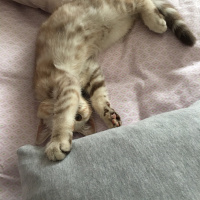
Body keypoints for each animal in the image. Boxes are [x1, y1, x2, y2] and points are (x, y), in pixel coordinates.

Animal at [33, 0, 195, 161]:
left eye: (77, 117)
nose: (81, 112)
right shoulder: (91, 68)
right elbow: (99, 96)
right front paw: (108, 116)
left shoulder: (66, 83)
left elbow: (63, 115)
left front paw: (57, 142)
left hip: (113, 6)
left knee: (142, 1)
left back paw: (155, 21)